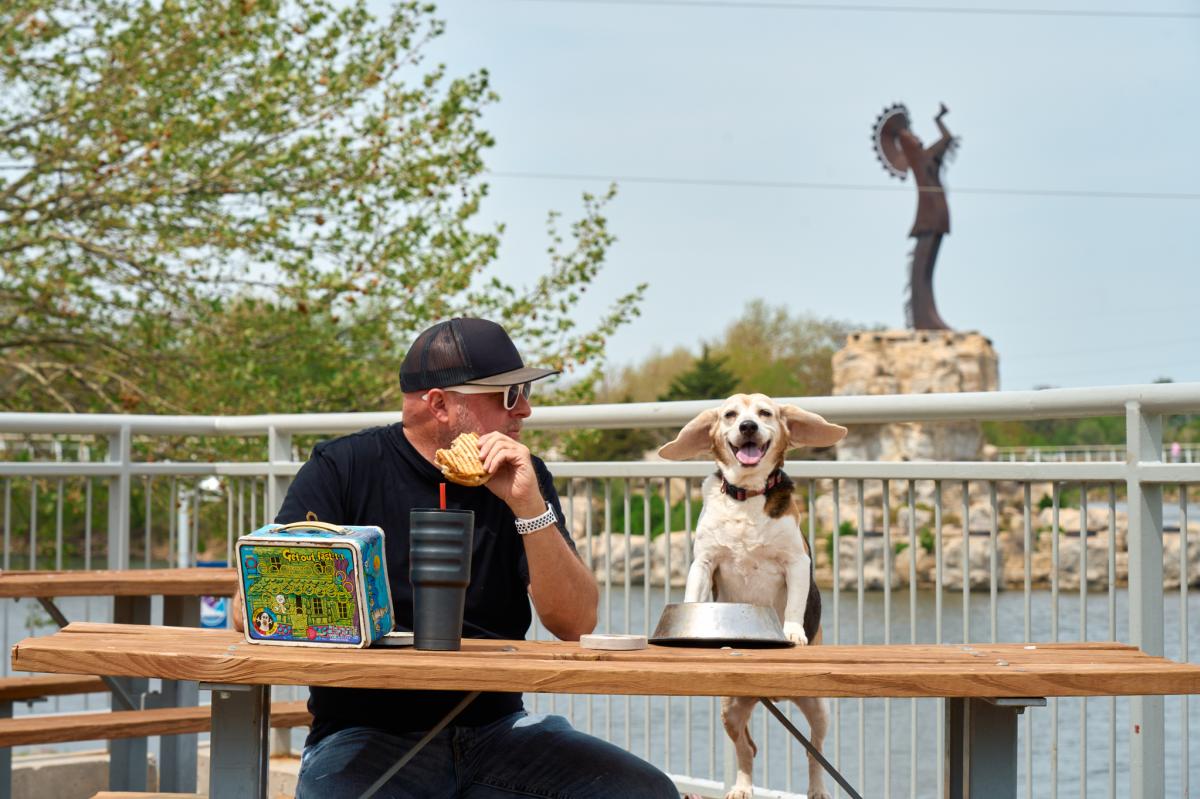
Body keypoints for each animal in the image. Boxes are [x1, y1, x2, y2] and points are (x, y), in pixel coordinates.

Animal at [657, 395, 844, 796]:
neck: (745, 496)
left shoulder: (797, 562)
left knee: (815, 751)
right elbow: (694, 595)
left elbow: (794, 606)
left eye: (765, 413)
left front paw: (792, 634)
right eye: (730, 414)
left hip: (820, 710)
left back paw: (818, 788)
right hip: (731, 709)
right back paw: (741, 787)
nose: (747, 427)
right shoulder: (703, 563)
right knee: (746, 749)